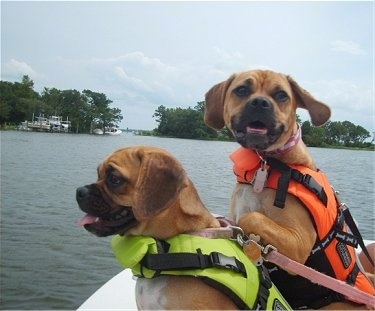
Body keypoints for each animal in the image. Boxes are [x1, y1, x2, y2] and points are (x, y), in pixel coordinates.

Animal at [206, 68, 375, 310]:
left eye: (282, 95)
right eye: (241, 90)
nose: (260, 103)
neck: (266, 163)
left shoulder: (299, 244)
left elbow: (252, 217)